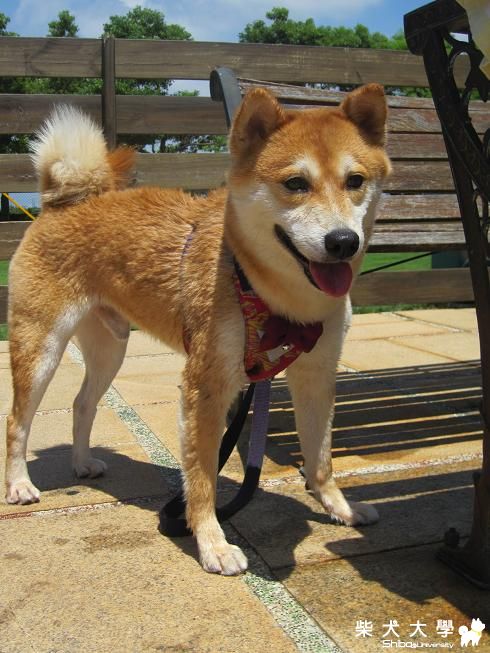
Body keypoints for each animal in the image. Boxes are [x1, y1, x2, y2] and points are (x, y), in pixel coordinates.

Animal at [5, 85, 391, 575]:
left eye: (355, 180)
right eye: (295, 183)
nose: (343, 242)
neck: (269, 289)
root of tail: (63, 202)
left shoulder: (316, 375)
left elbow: (320, 458)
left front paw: (341, 509)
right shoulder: (208, 383)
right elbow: (203, 476)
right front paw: (212, 544)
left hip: (111, 347)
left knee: (82, 404)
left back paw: (82, 463)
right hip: (43, 346)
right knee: (17, 420)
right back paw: (19, 485)